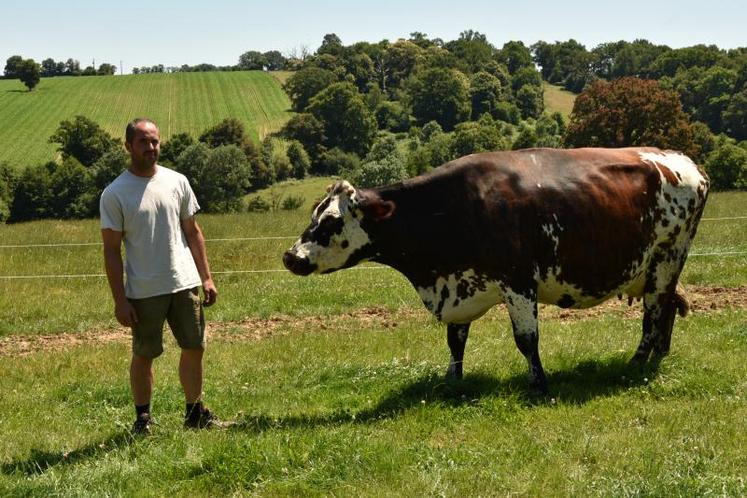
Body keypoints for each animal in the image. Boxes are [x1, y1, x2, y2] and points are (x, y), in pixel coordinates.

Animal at [284, 147, 712, 392]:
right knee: (667, 309)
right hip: (658, 269)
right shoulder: (460, 285)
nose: (291, 256)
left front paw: (538, 383)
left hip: (667, 258)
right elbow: (455, 342)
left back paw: (637, 362)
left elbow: (527, 340)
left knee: (653, 315)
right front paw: (452, 380)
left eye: (331, 222)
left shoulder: (517, 281)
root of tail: (683, 161)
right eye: (314, 214)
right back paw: (657, 356)